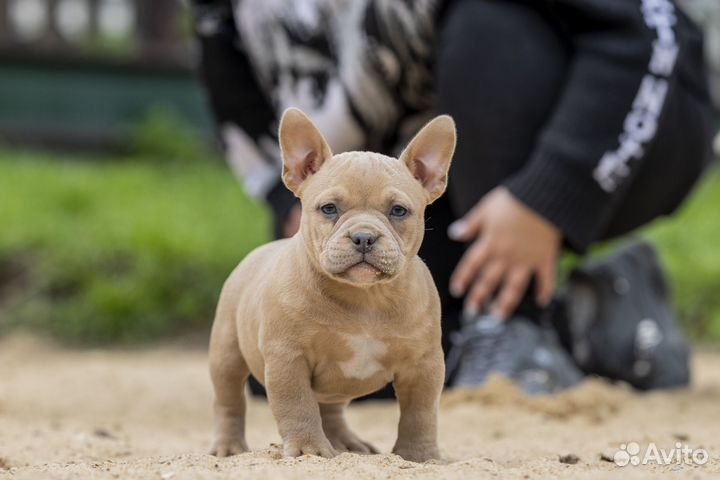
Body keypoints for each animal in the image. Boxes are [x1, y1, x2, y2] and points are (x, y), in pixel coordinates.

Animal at [210, 108, 456, 462]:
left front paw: (419, 455)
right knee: (229, 400)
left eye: (399, 211)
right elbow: (297, 406)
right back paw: (229, 447)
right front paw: (307, 449)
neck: (366, 298)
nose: (364, 236)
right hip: (227, 351)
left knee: (330, 408)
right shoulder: (288, 359)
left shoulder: (423, 365)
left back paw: (345, 443)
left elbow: (420, 413)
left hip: (336, 384)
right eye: (329, 209)